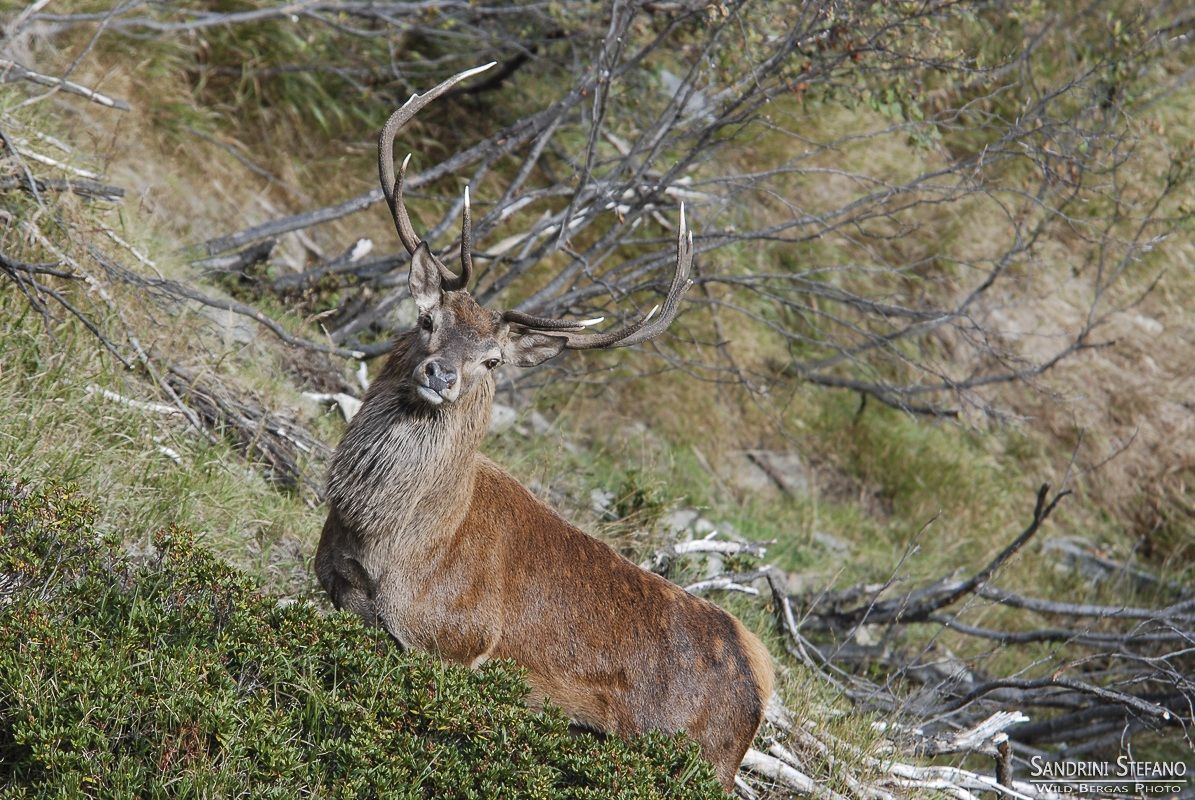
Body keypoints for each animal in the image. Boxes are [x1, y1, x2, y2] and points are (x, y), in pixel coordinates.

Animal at [315, 63, 773, 791]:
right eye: (427, 321)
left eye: (492, 360)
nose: (441, 373)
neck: (394, 542)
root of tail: (764, 677)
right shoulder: (336, 595)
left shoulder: (452, 648)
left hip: (693, 763)